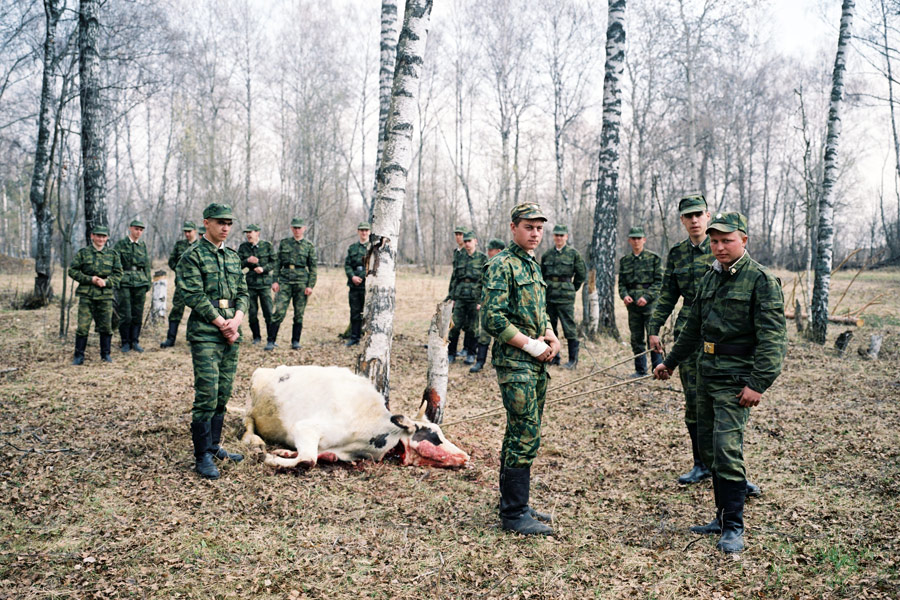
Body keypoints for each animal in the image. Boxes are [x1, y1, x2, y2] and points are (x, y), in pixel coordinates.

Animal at [244, 364, 472, 472]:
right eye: (435, 436)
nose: (465, 456)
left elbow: (318, 457)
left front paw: (283, 452)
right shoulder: (304, 427)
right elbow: (308, 460)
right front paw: (269, 458)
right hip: (250, 401)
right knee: (248, 422)